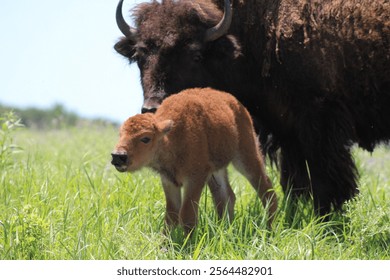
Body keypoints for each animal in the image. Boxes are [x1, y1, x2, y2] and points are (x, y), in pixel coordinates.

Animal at [110, 88, 278, 234]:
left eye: (145, 138)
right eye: (120, 134)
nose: (118, 156)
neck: (171, 137)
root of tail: (238, 105)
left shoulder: (195, 179)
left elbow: (187, 214)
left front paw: (188, 245)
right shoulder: (169, 181)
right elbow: (171, 215)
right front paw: (164, 245)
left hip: (246, 155)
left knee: (266, 189)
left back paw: (268, 229)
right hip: (216, 171)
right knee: (226, 196)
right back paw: (225, 230)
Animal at [113, 0, 390, 215]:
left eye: (195, 55)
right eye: (140, 56)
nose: (152, 108)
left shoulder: (319, 124)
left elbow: (328, 180)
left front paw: (327, 220)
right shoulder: (288, 133)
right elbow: (296, 182)